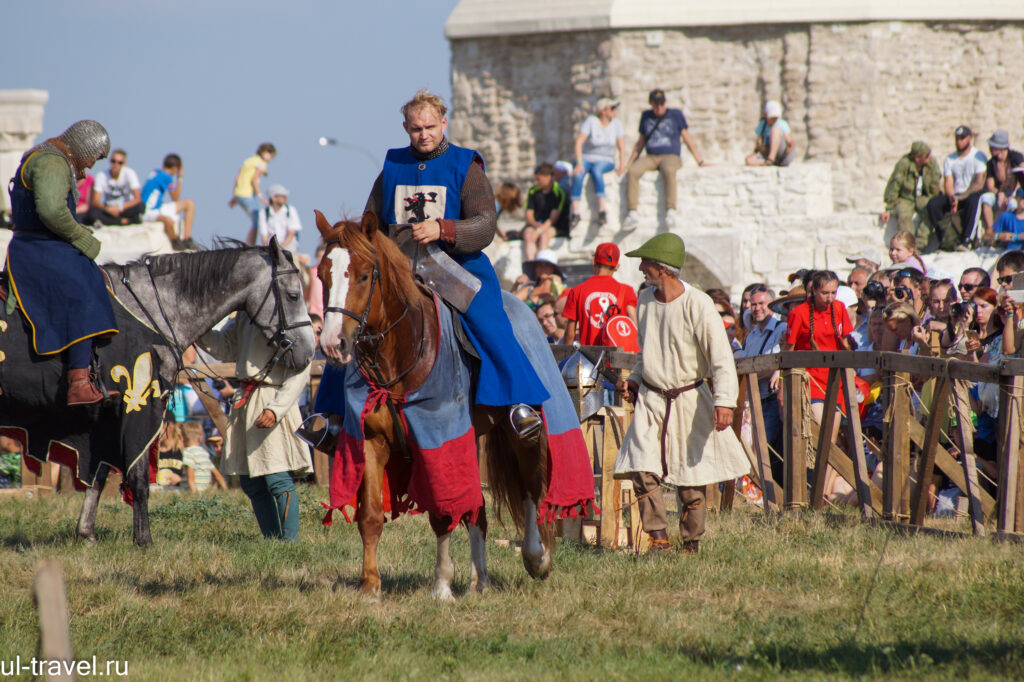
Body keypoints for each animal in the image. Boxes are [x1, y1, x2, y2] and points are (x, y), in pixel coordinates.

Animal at [313, 209, 552, 598]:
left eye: (363, 276)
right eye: (322, 275)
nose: (334, 344)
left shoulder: (437, 440)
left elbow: (442, 513)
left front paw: (441, 587)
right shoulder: (372, 442)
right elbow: (371, 515)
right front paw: (369, 587)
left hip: (519, 427)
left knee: (530, 485)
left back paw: (535, 558)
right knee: (478, 510)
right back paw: (480, 581)